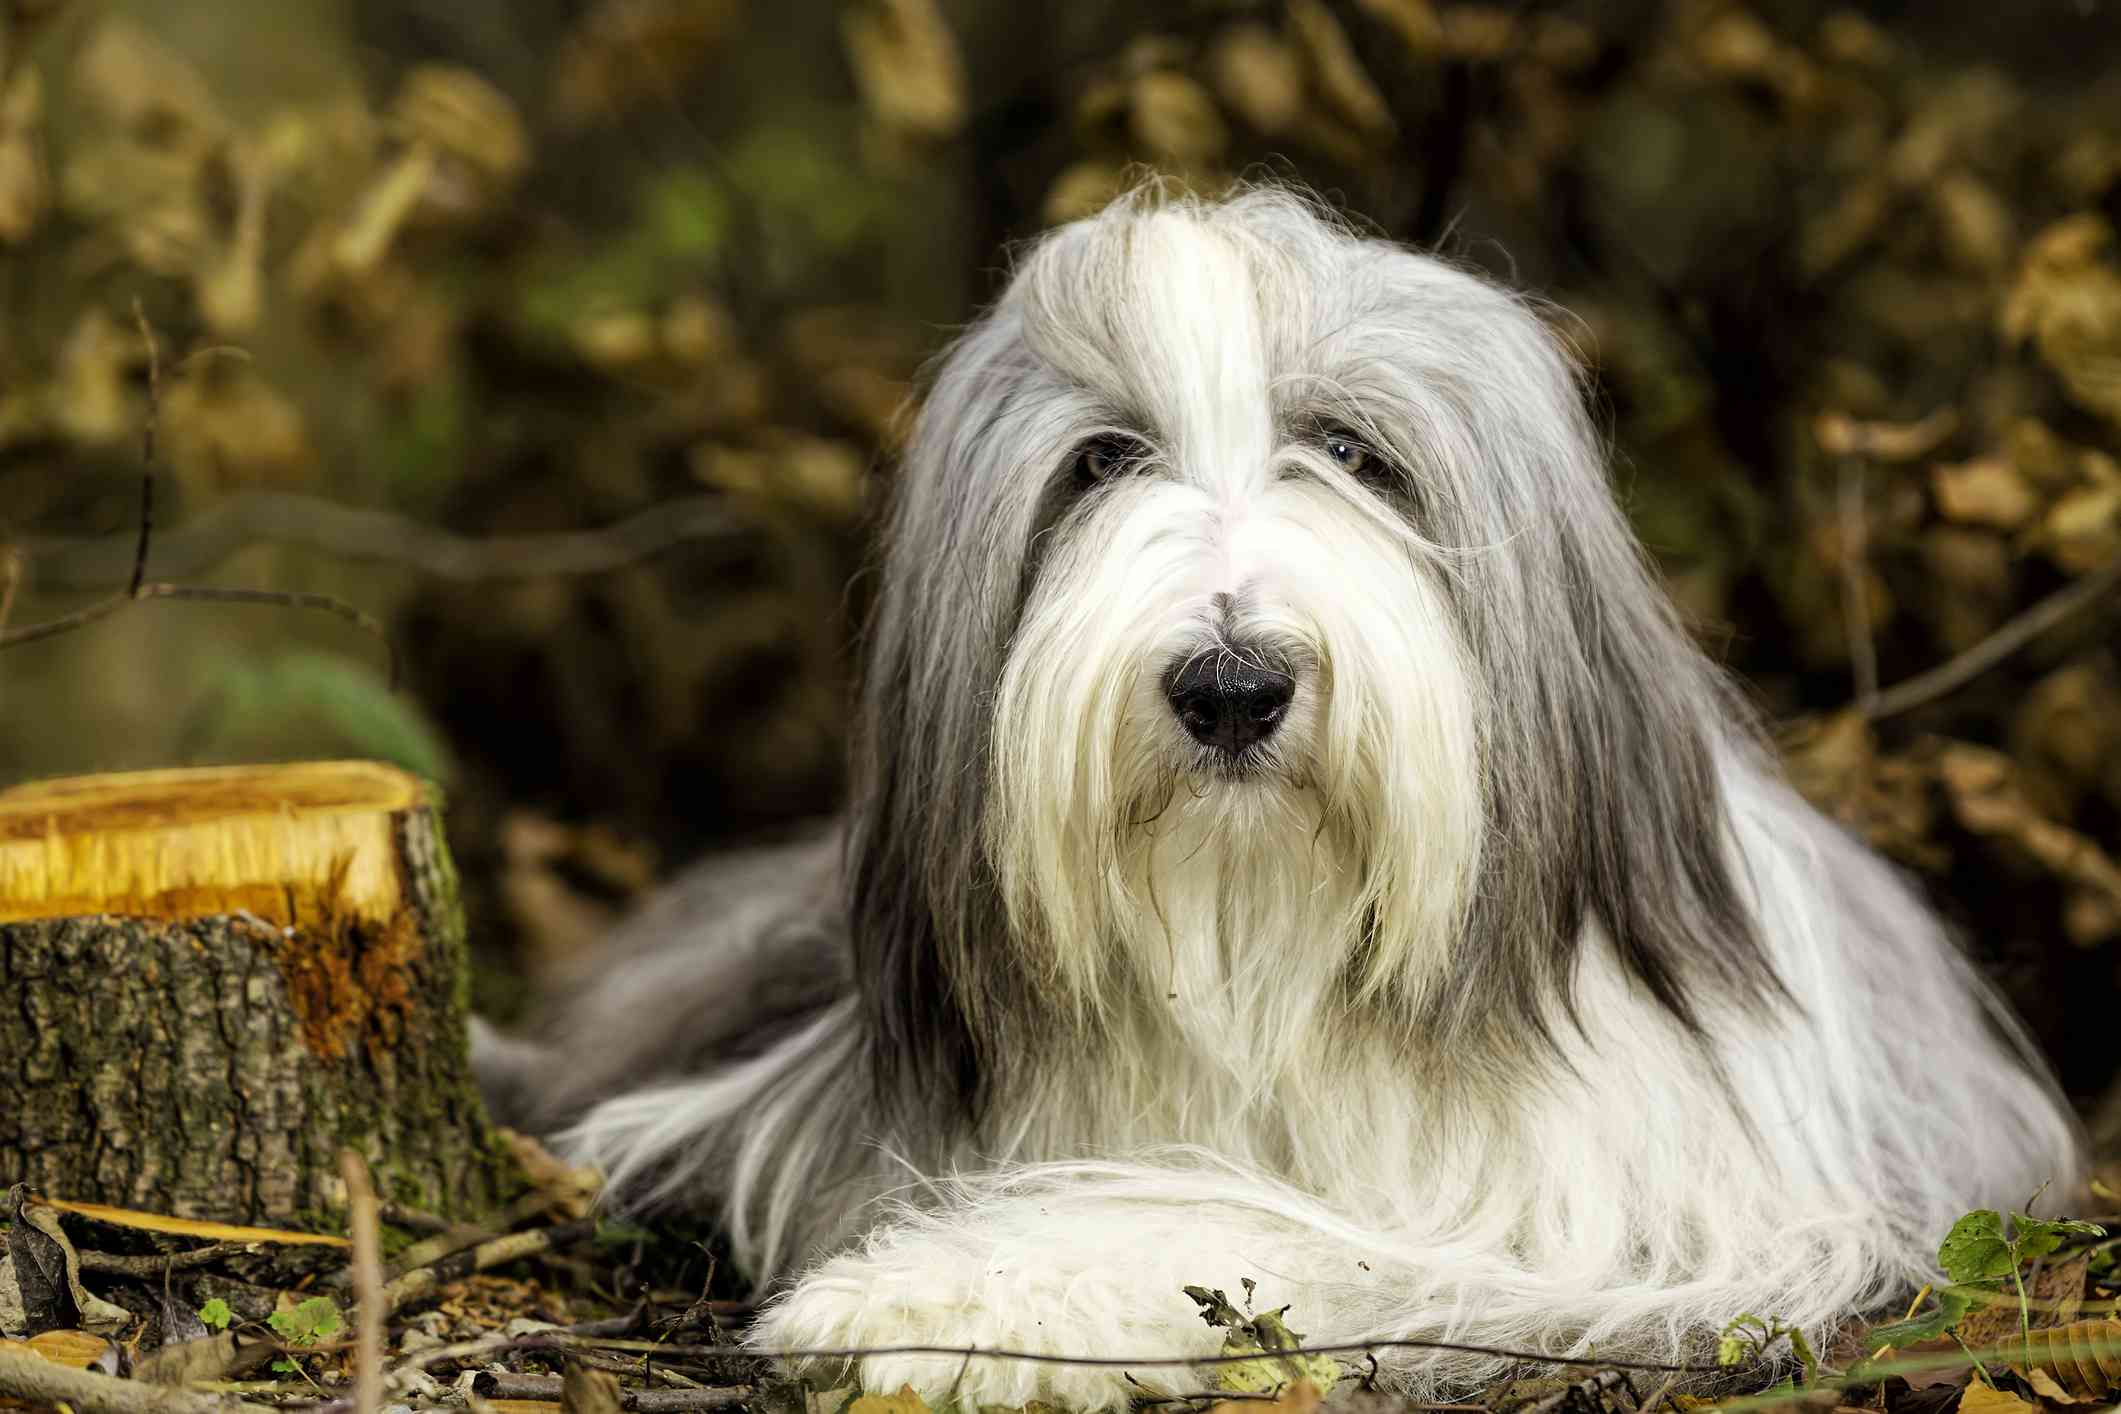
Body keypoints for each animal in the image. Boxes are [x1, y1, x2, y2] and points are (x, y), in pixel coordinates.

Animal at [477, 190, 2070, 1414]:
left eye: (1356, 454)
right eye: (1101, 461)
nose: (1232, 683)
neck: (1257, 931)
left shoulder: (1635, 1212)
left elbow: (1283, 1231)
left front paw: (926, 1297)